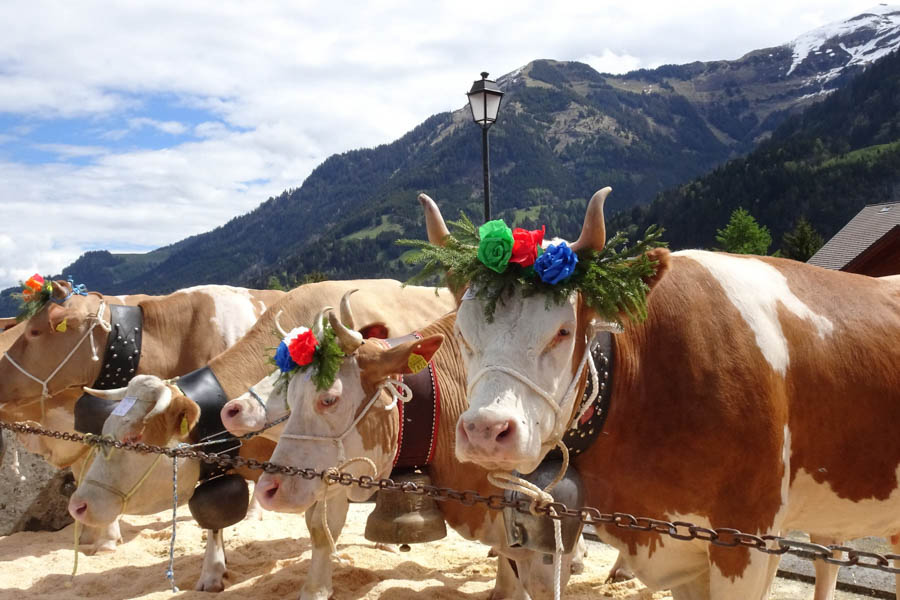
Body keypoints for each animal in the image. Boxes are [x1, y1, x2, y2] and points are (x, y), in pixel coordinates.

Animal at [67, 280, 455, 592]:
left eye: (133, 438)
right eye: (105, 431)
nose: (77, 505)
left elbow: (319, 527)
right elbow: (218, 523)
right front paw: (212, 573)